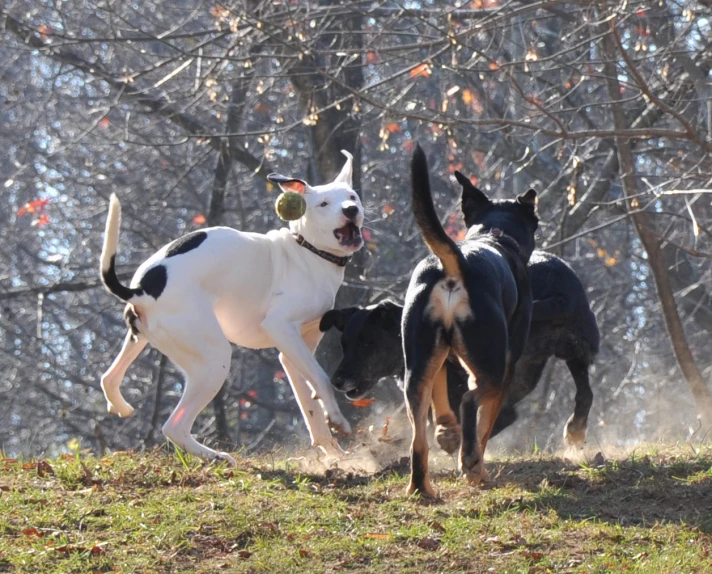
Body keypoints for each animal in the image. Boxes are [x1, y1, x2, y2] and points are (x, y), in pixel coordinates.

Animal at [320, 252, 596, 450]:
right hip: (576, 348)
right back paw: (576, 429)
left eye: (368, 343)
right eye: (345, 344)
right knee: (584, 393)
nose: (336, 380)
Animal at [404, 145, 536, 500]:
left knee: (418, 440)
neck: (495, 236)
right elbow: (485, 425)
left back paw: (422, 488)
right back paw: (472, 464)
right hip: (491, 366)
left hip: (416, 369)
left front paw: (449, 434)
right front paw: (476, 464)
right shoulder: (507, 367)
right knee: (469, 401)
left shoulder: (438, 359)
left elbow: (442, 405)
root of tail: (456, 266)